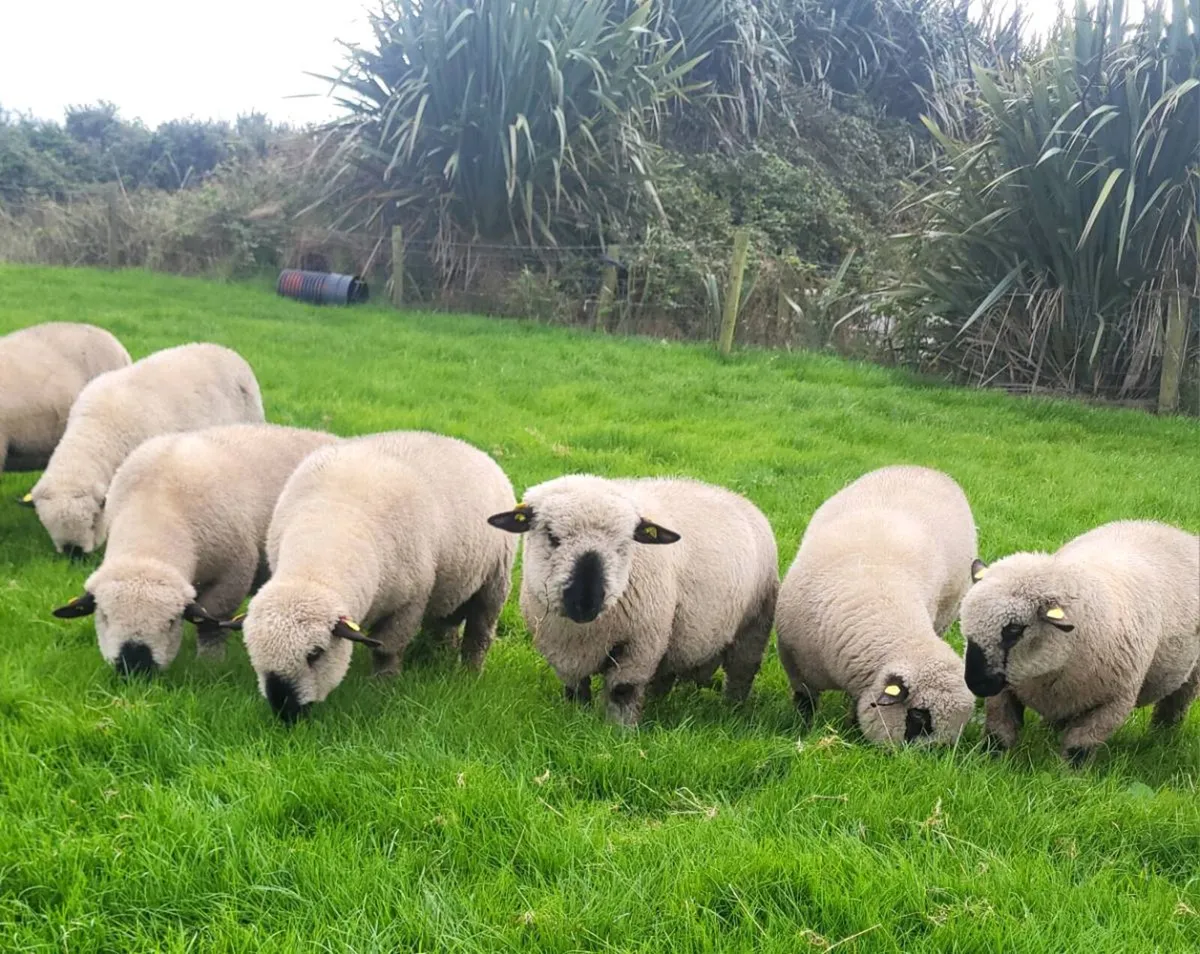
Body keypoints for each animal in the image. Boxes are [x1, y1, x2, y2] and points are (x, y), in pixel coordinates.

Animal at [50, 424, 338, 676]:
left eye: (170, 622)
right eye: (105, 616)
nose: (135, 666)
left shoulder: (230, 576)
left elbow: (212, 621)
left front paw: (210, 662)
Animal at [239, 431, 517, 722]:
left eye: (315, 654)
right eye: (253, 654)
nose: (285, 713)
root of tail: (470, 447)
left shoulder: (409, 603)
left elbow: (387, 648)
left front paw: (384, 683)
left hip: (494, 582)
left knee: (479, 634)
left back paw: (470, 673)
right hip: (451, 582)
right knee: (445, 625)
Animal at [488, 475, 779, 727]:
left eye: (623, 544)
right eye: (551, 536)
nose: (585, 602)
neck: (584, 631)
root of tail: (733, 494)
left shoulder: (639, 642)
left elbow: (622, 690)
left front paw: (619, 732)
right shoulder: (561, 650)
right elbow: (576, 690)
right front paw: (576, 721)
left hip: (753, 625)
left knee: (741, 671)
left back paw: (733, 710)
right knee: (666, 673)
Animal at [774, 466, 978, 746]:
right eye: (918, 716)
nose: (927, 757)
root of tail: (927, 469)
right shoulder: (796, 666)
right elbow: (806, 704)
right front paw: (802, 728)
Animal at [961, 520, 1200, 765]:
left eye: (1014, 629)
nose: (976, 684)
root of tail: (1167, 527)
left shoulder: (1113, 702)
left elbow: (1079, 746)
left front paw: (1067, 772)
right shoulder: (1005, 690)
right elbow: (999, 732)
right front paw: (989, 760)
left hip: (1191, 675)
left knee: (1174, 705)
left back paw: (1162, 738)